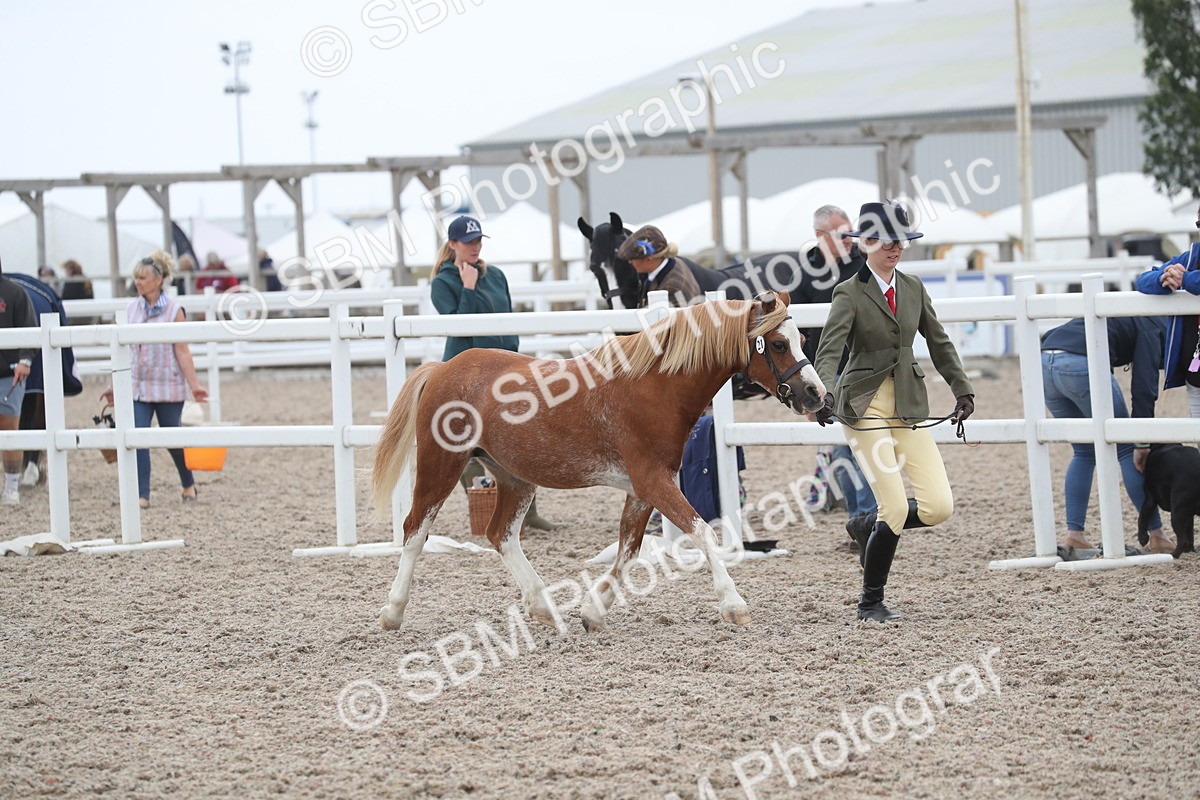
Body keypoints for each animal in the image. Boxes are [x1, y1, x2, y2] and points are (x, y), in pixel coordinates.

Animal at [372, 291, 826, 633]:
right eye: (779, 344)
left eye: (801, 339)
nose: (816, 394)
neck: (655, 387)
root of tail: (443, 368)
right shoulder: (654, 482)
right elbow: (702, 534)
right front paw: (734, 603)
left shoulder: (643, 489)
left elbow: (629, 549)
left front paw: (593, 611)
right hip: (442, 465)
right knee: (415, 531)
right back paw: (393, 611)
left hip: (514, 477)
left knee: (500, 534)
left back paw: (543, 607)